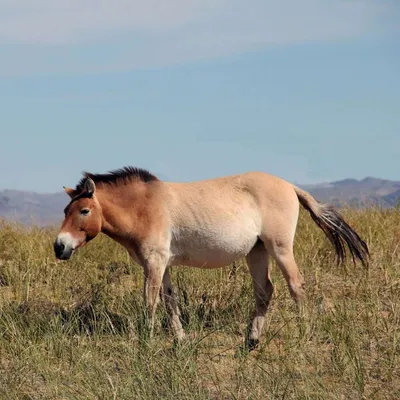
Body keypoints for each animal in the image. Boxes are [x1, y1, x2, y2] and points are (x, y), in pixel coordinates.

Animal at [53, 167, 368, 348]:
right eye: (65, 211)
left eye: (84, 211)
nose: (59, 246)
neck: (145, 206)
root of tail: (289, 186)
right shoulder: (162, 265)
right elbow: (170, 300)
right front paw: (180, 341)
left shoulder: (154, 263)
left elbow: (150, 301)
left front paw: (146, 340)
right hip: (257, 252)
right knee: (265, 291)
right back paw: (252, 340)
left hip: (279, 248)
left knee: (295, 286)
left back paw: (303, 334)